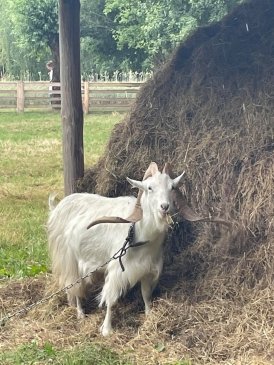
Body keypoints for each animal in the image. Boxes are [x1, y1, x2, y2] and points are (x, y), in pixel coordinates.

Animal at [47, 162, 184, 336]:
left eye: (172, 187)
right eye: (149, 188)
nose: (165, 206)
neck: (138, 233)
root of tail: (57, 207)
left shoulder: (147, 269)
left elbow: (146, 294)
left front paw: (149, 315)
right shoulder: (117, 269)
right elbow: (111, 299)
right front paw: (107, 329)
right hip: (69, 259)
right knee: (74, 285)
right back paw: (80, 313)